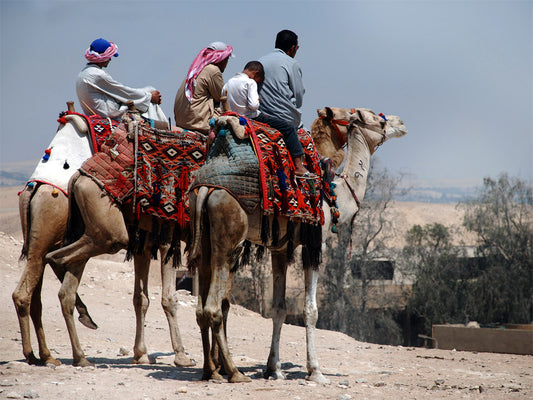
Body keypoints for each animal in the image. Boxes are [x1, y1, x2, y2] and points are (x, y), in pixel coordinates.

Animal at [188, 108, 408, 382]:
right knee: (214, 308)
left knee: (201, 308)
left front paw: (274, 369)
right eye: (379, 121)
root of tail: (205, 188)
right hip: (228, 239)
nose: (402, 123)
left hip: (204, 238)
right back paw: (234, 372)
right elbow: (310, 310)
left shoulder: (280, 249)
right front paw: (315, 371)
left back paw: (211, 370)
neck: (336, 196)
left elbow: (279, 308)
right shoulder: (315, 244)